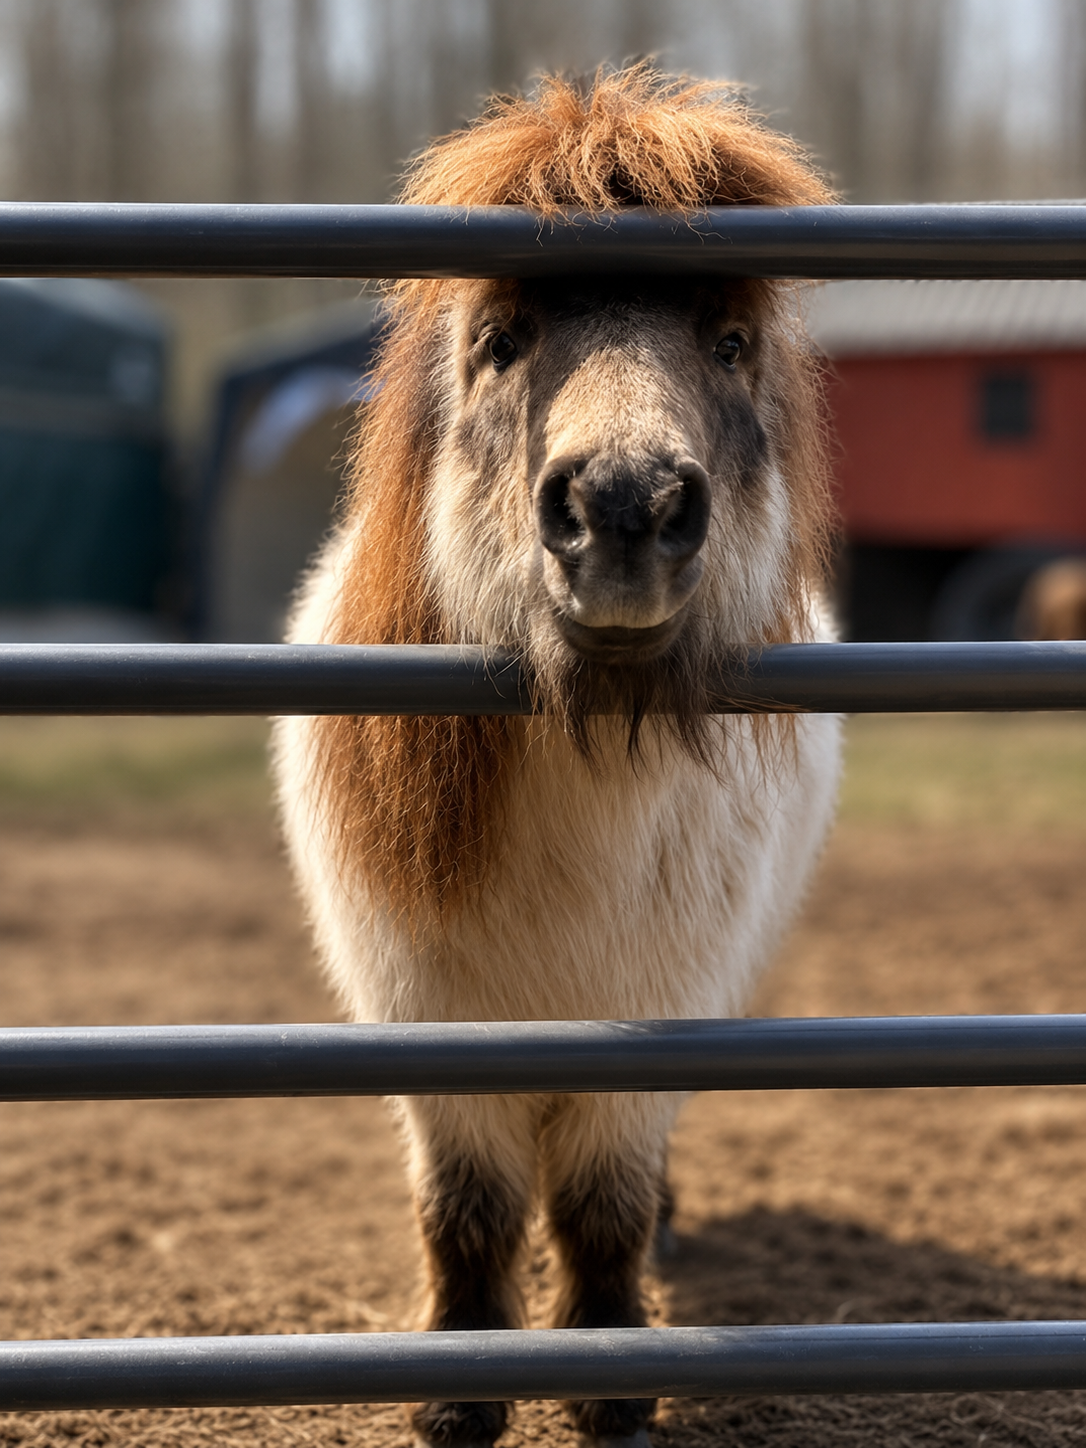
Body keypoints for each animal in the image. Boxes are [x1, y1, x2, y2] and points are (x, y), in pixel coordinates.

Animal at [273, 65, 842, 1448]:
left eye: (728, 343)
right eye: (504, 338)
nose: (625, 507)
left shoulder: (653, 1014)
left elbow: (602, 1207)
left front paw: (610, 1379)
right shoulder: (427, 1016)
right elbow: (469, 1212)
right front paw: (458, 1393)